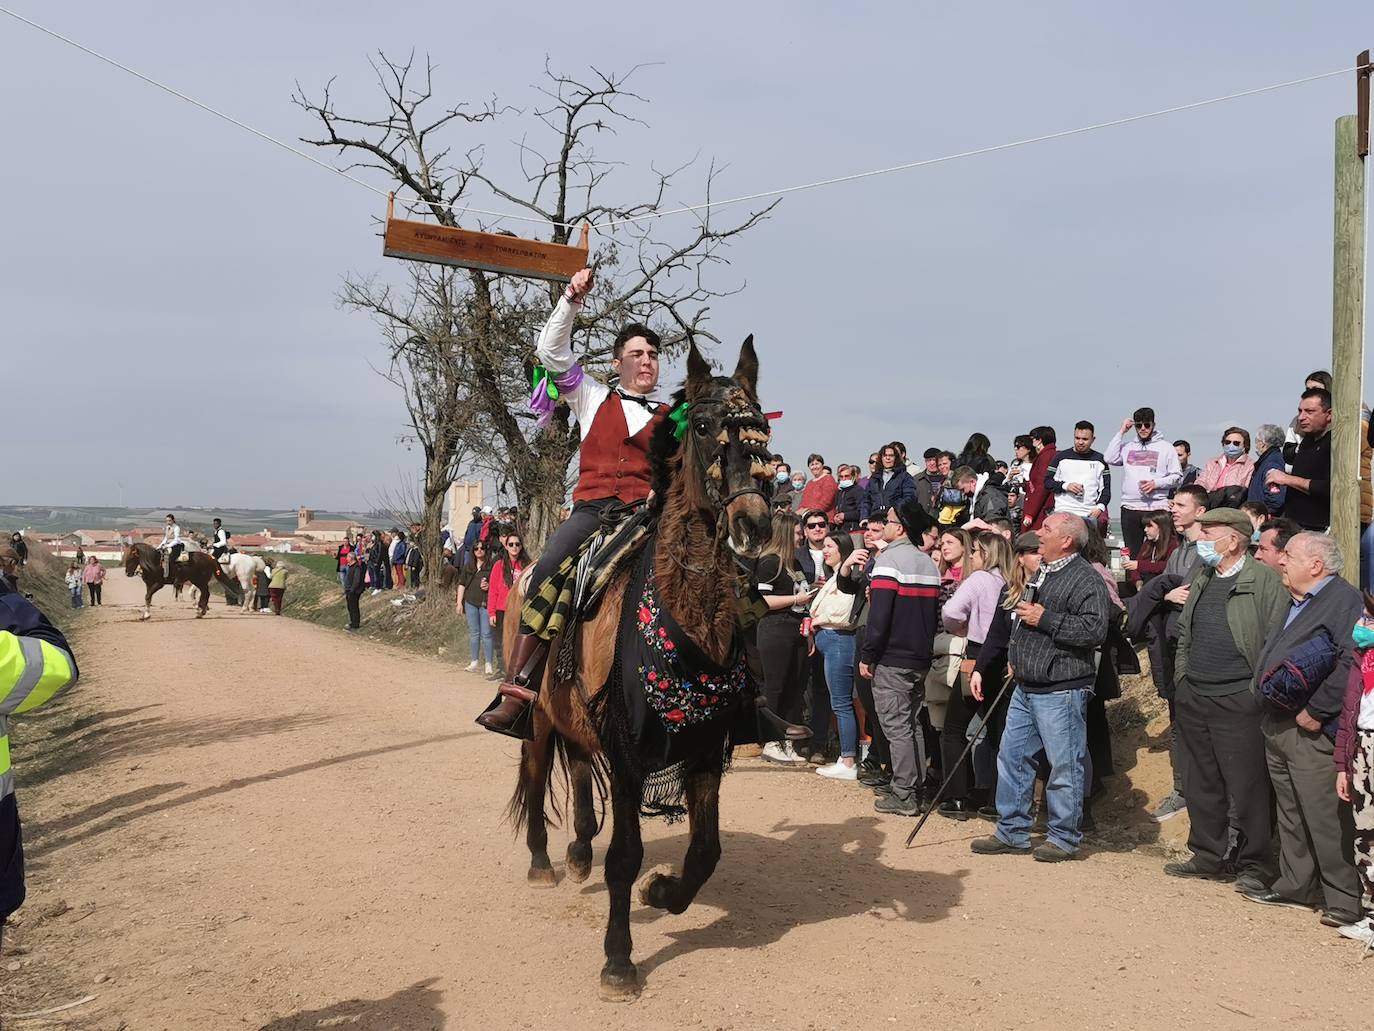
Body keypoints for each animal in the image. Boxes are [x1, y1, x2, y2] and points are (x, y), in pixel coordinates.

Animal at [511, 336, 780, 1000]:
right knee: (536, 773)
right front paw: (618, 960)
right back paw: (542, 861)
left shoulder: (706, 748)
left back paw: (578, 849)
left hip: (580, 720)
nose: (753, 525)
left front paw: (662, 893)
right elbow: (625, 857)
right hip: (537, 720)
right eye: (703, 427)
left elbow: (705, 851)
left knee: (580, 769)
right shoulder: (631, 751)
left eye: (761, 429)